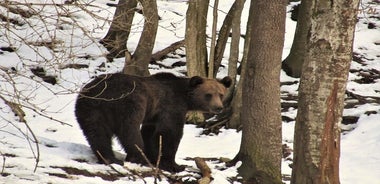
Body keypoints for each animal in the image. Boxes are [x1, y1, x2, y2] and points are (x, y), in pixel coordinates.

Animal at [72, 72, 230, 172]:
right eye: (208, 95)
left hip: (89, 108)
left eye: (221, 94)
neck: (186, 98)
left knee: (96, 133)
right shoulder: (172, 106)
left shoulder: (153, 115)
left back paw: (109, 158)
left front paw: (154, 157)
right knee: (129, 130)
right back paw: (137, 157)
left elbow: (150, 132)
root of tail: (103, 94)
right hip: (129, 103)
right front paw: (174, 165)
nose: (219, 107)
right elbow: (170, 133)